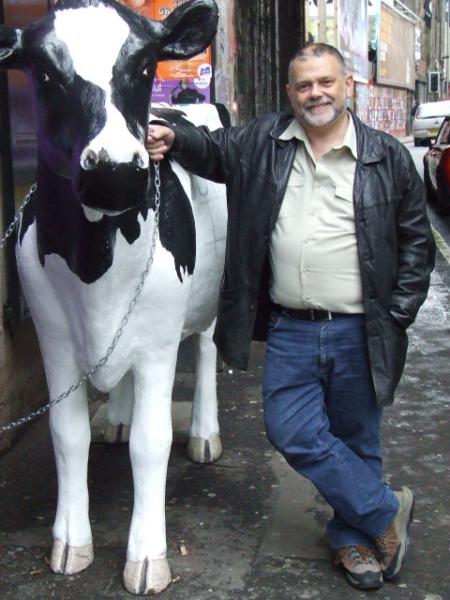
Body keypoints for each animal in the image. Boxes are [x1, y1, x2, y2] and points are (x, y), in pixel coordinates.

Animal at [0, 0, 225, 592]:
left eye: (145, 66)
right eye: (43, 72)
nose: (118, 171)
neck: (93, 269)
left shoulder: (158, 343)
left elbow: (152, 442)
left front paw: (146, 557)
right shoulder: (52, 338)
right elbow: (66, 433)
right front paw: (69, 543)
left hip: (212, 296)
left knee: (209, 350)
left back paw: (204, 435)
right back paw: (117, 419)